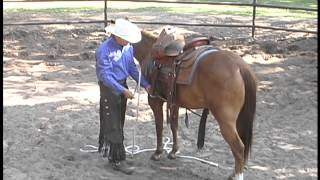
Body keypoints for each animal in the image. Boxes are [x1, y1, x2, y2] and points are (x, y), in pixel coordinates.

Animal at [133, 26, 258, 180]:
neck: (149, 52)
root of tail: (239, 66)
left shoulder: (155, 101)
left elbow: (159, 126)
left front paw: (158, 152)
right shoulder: (174, 103)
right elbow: (174, 125)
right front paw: (173, 152)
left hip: (226, 121)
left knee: (239, 147)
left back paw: (237, 175)